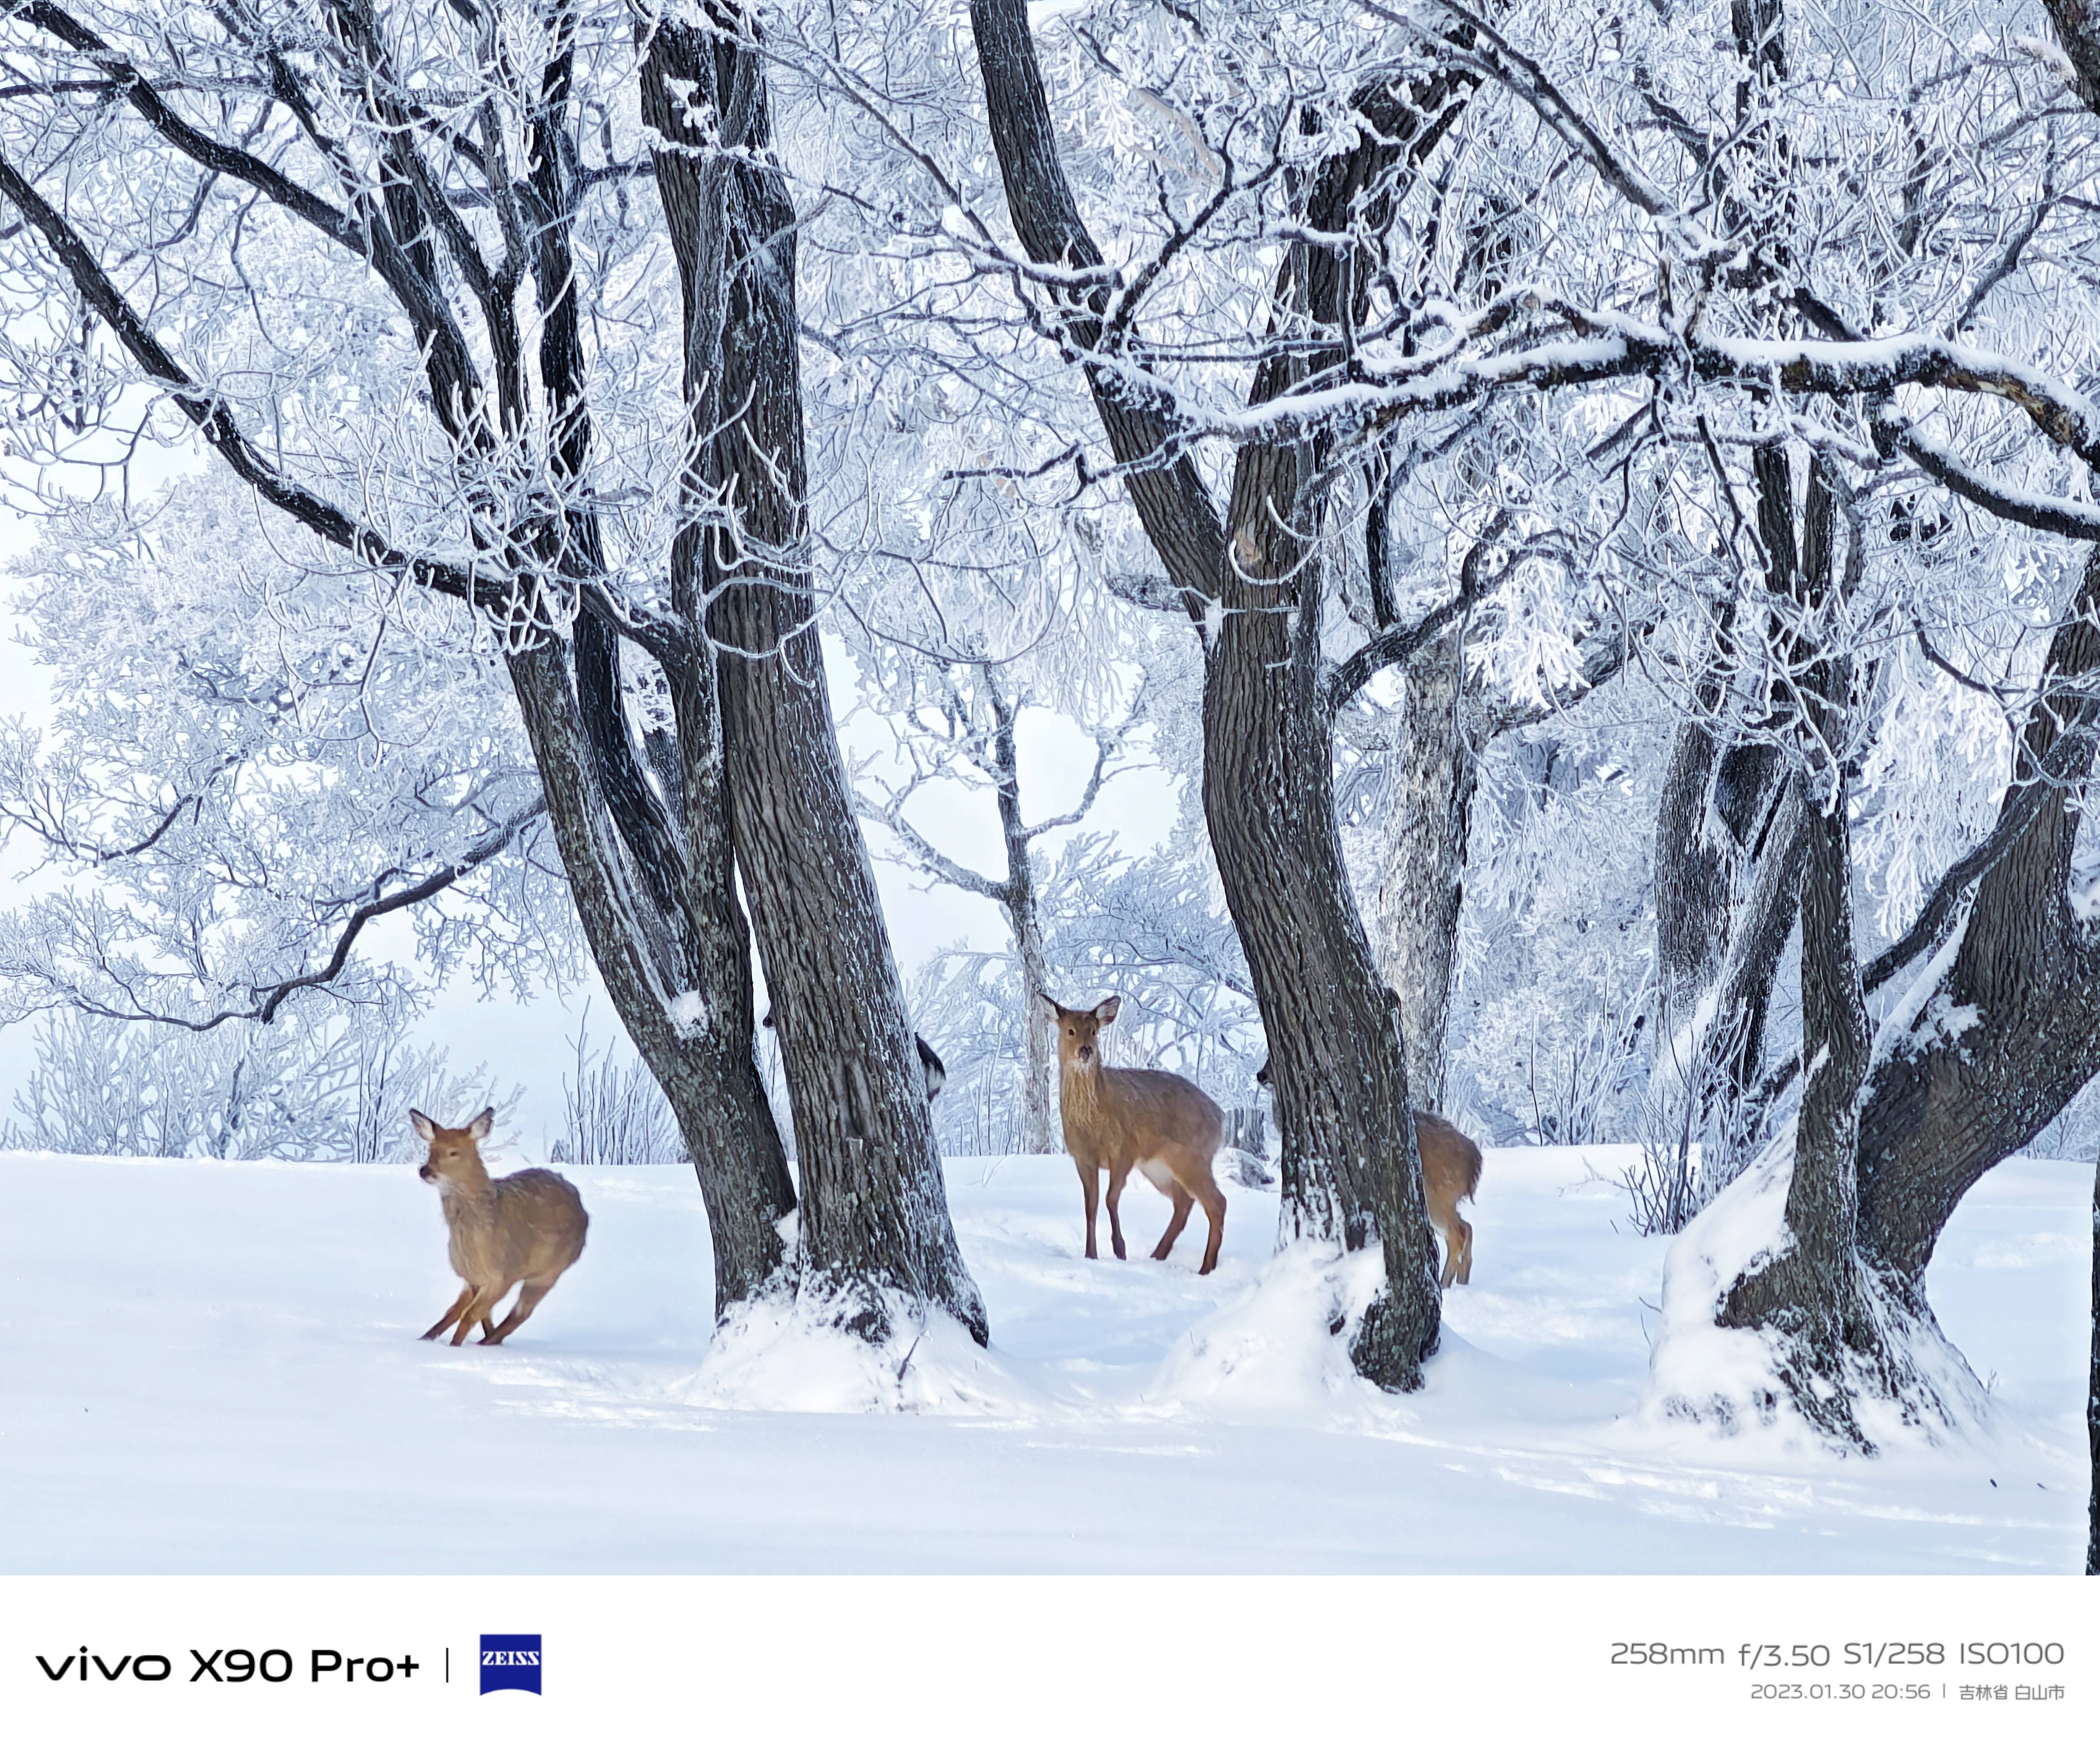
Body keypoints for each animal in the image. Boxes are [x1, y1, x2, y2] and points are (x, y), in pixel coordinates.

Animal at [412, 1108, 592, 1343]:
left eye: (454, 1152)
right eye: (430, 1149)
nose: (425, 1170)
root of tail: (582, 1206)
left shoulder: (504, 1274)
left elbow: (470, 1316)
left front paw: (454, 1346)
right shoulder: (472, 1277)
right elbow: (460, 1313)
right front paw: (426, 1341)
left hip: (550, 1270)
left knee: (521, 1314)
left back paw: (488, 1342)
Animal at [1050, 999, 1226, 1276]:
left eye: (1094, 1031)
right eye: (1070, 1031)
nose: (1086, 1050)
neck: (1091, 1120)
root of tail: (1221, 1117)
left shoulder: (1125, 1149)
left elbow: (1111, 1198)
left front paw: (1119, 1249)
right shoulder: (1082, 1157)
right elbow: (1091, 1205)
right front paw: (1091, 1254)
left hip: (1192, 1157)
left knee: (1217, 1202)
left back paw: (1205, 1268)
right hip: (1157, 1166)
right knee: (1184, 1201)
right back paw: (1158, 1256)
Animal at [1251, 1054, 1487, 1284]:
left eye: (1272, 1057)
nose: (1261, 1075)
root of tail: (1476, 1160)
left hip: (1438, 1195)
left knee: (1458, 1234)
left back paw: (1446, 1283)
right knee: (1466, 1228)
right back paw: (1459, 1281)